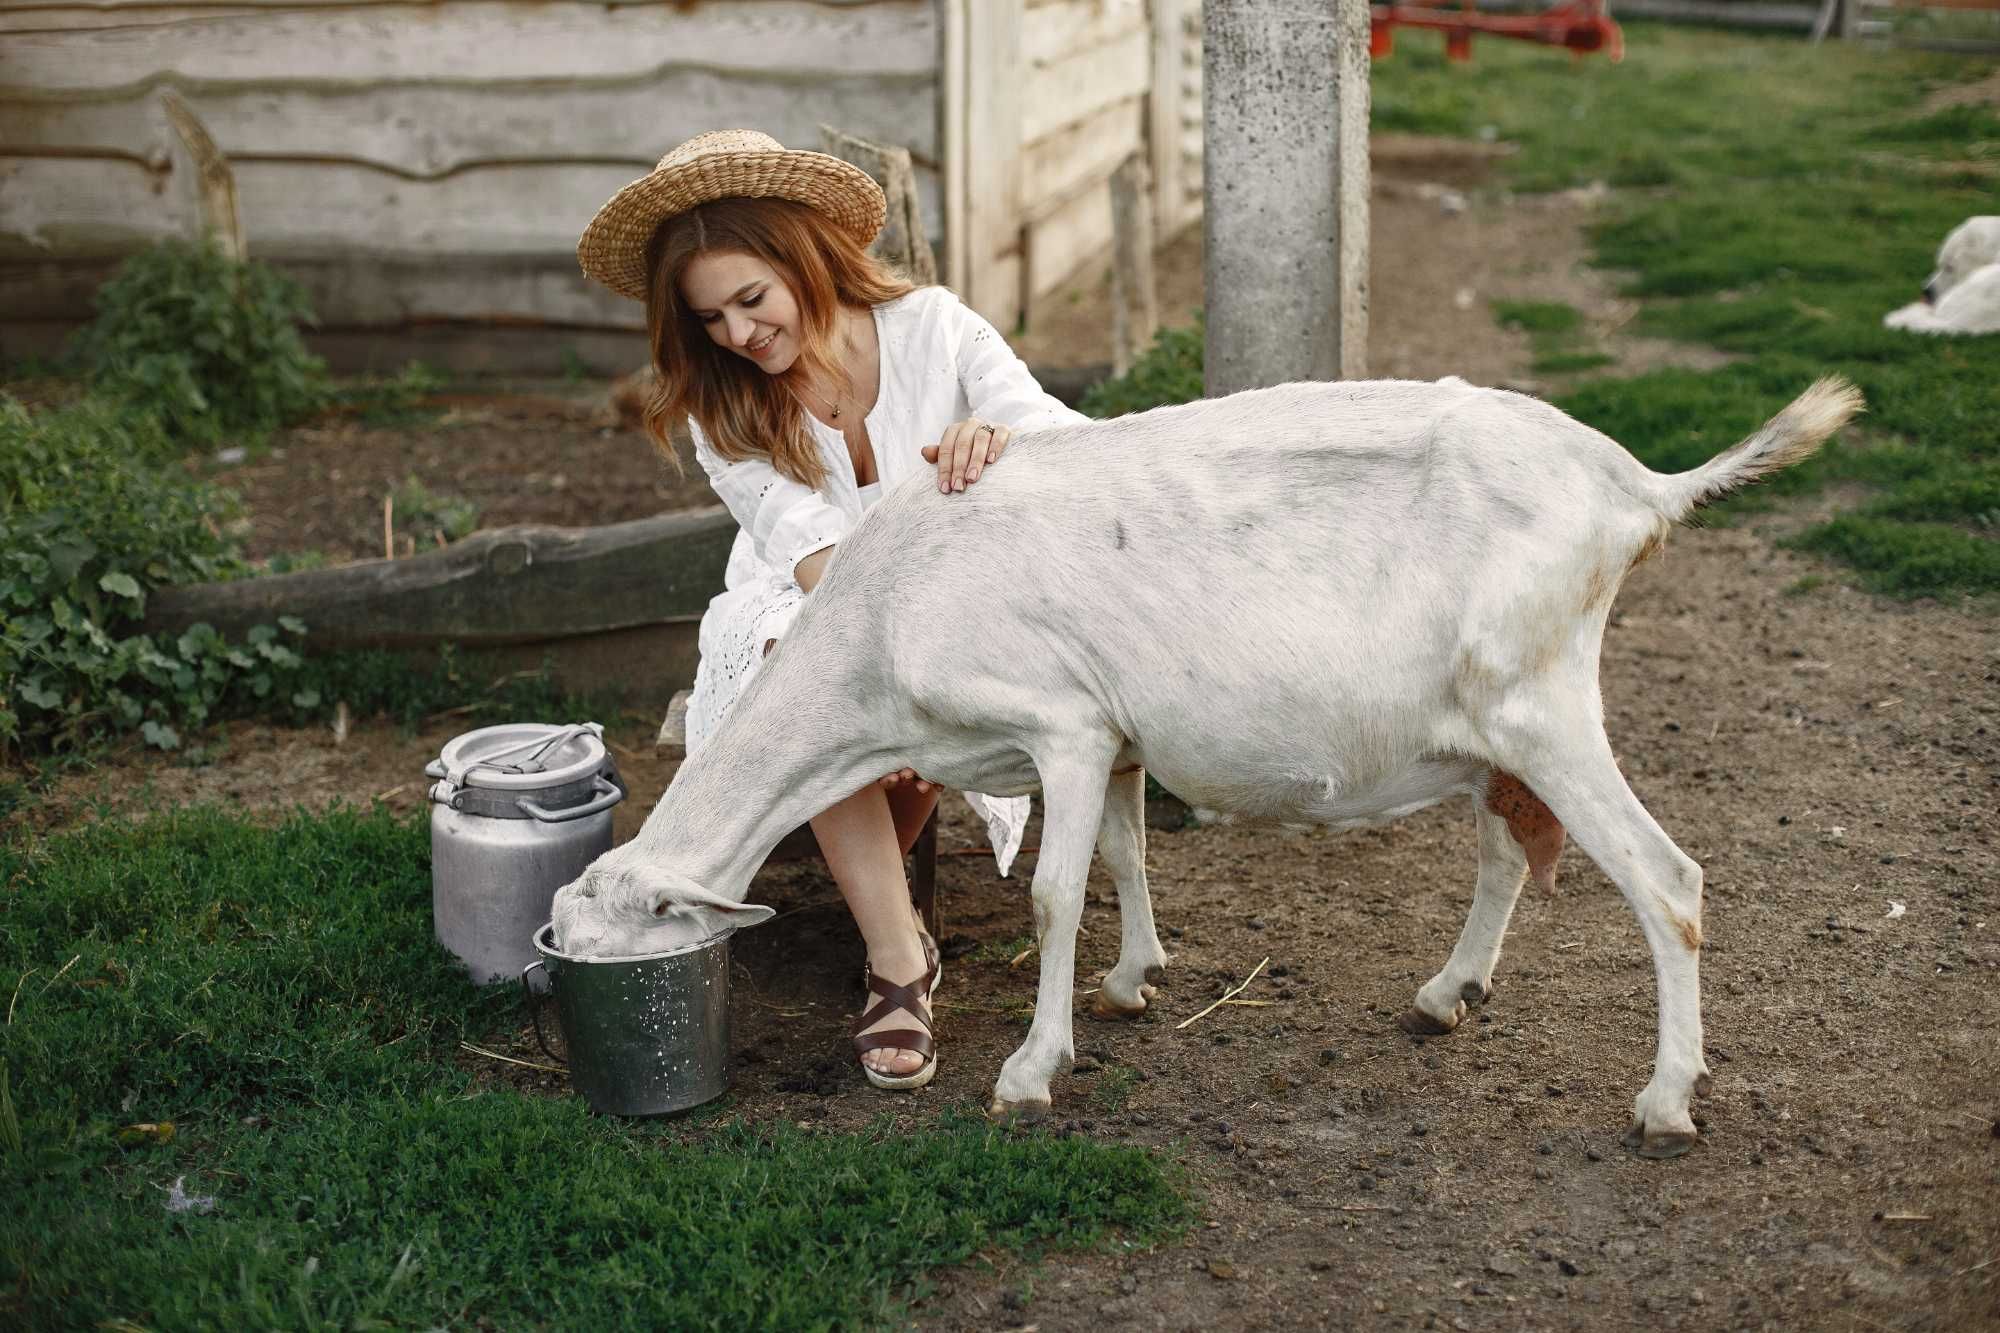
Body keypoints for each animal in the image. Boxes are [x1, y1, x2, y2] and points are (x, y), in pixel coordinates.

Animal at [556, 370, 1864, 1152]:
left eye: (591, 946)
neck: (878, 635)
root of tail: (1635, 486)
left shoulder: (1060, 721)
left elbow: (1050, 893)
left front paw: (1031, 1068)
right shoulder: (1114, 732)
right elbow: (1126, 854)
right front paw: (1134, 979)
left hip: (1541, 700)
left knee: (1667, 881)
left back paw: (1664, 1099)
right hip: (1498, 726)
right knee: (1507, 854)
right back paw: (1447, 993)